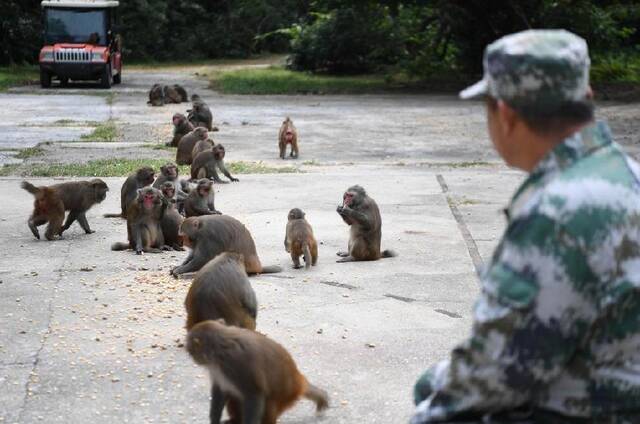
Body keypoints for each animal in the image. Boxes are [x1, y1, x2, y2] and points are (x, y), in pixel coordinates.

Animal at [186, 322, 330, 424]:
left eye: (191, 351)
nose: (192, 357)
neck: (220, 350)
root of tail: (298, 380)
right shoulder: (218, 369)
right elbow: (221, 390)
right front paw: (214, 419)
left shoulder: (236, 364)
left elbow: (254, 394)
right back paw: (234, 420)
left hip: (285, 397)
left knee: (267, 402)